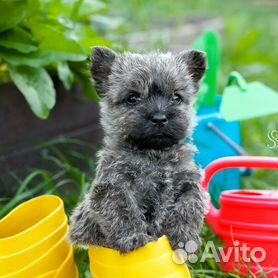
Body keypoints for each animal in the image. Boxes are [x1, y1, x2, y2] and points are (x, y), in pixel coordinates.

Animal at [69, 46, 208, 254]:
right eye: (133, 98)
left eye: (176, 97)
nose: (159, 118)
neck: (154, 155)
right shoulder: (113, 186)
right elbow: (123, 212)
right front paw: (134, 238)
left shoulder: (188, 185)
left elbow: (188, 208)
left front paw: (184, 239)